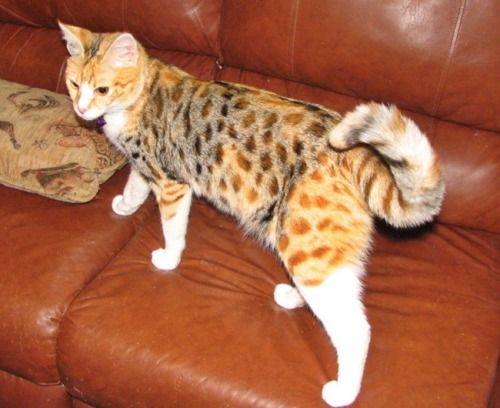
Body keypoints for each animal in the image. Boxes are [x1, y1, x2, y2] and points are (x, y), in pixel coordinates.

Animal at [59, 23, 446, 408]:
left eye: (103, 88)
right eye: (74, 84)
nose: (81, 108)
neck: (142, 93)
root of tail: (354, 151)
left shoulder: (171, 182)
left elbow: (173, 228)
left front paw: (168, 258)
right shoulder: (146, 166)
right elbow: (134, 186)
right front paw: (124, 205)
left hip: (307, 243)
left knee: (355, 329)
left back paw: (343, 391)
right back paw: (293, 296)